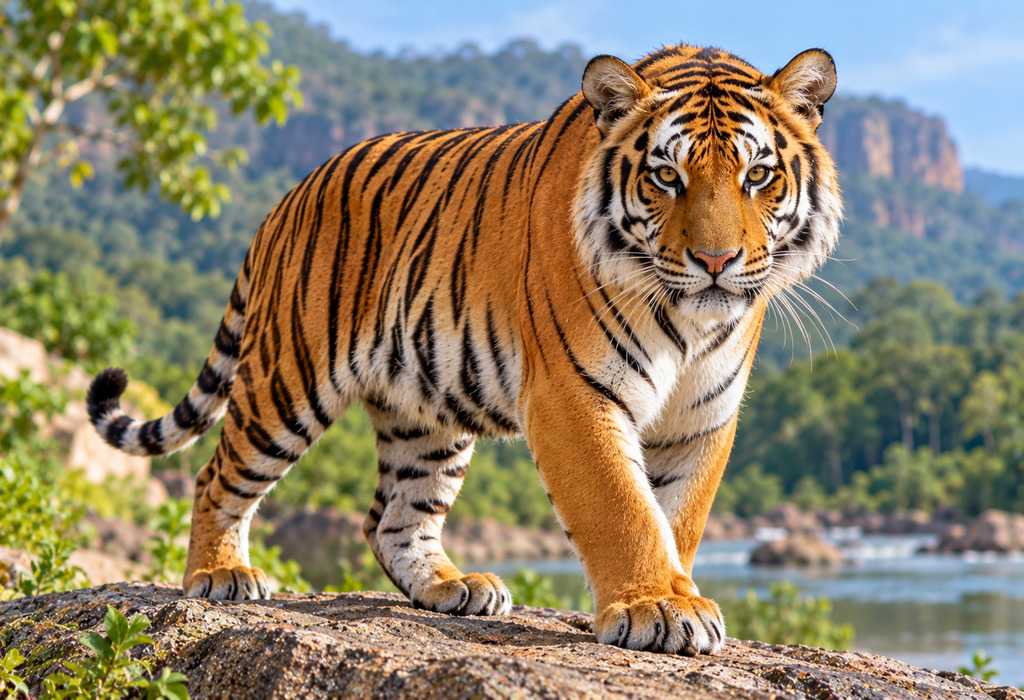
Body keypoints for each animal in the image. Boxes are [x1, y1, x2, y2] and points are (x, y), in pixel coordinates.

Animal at [88, 43, 841, 656]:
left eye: (757, 176)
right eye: (666, 178)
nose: (716, 261)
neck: (688, 323)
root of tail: (289, 197)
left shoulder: (702, 416)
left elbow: (675, 515)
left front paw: (673, 595)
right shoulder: (574, 394)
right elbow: (622, 506)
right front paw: (656, 607)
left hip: (428, 411)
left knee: (392, 518)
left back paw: (453, 588)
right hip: (286, 381)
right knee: (216, 476)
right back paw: (220, 574)